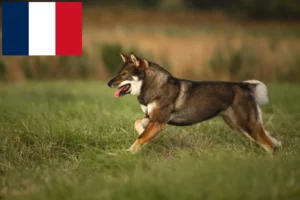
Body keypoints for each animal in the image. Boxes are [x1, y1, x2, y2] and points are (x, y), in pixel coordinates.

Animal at [108, 52, 282, 153]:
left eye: (124, 74)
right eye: (119, 73)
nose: (109, 83)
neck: (153, 85)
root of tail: (243, 86)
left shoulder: (158, 121)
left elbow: (140, 139)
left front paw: (128, 153)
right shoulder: (152, 118)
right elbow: (138, 125)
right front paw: (145, 137)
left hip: (246, 125)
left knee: (270, 145)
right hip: (240, 125)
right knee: (271, 141)